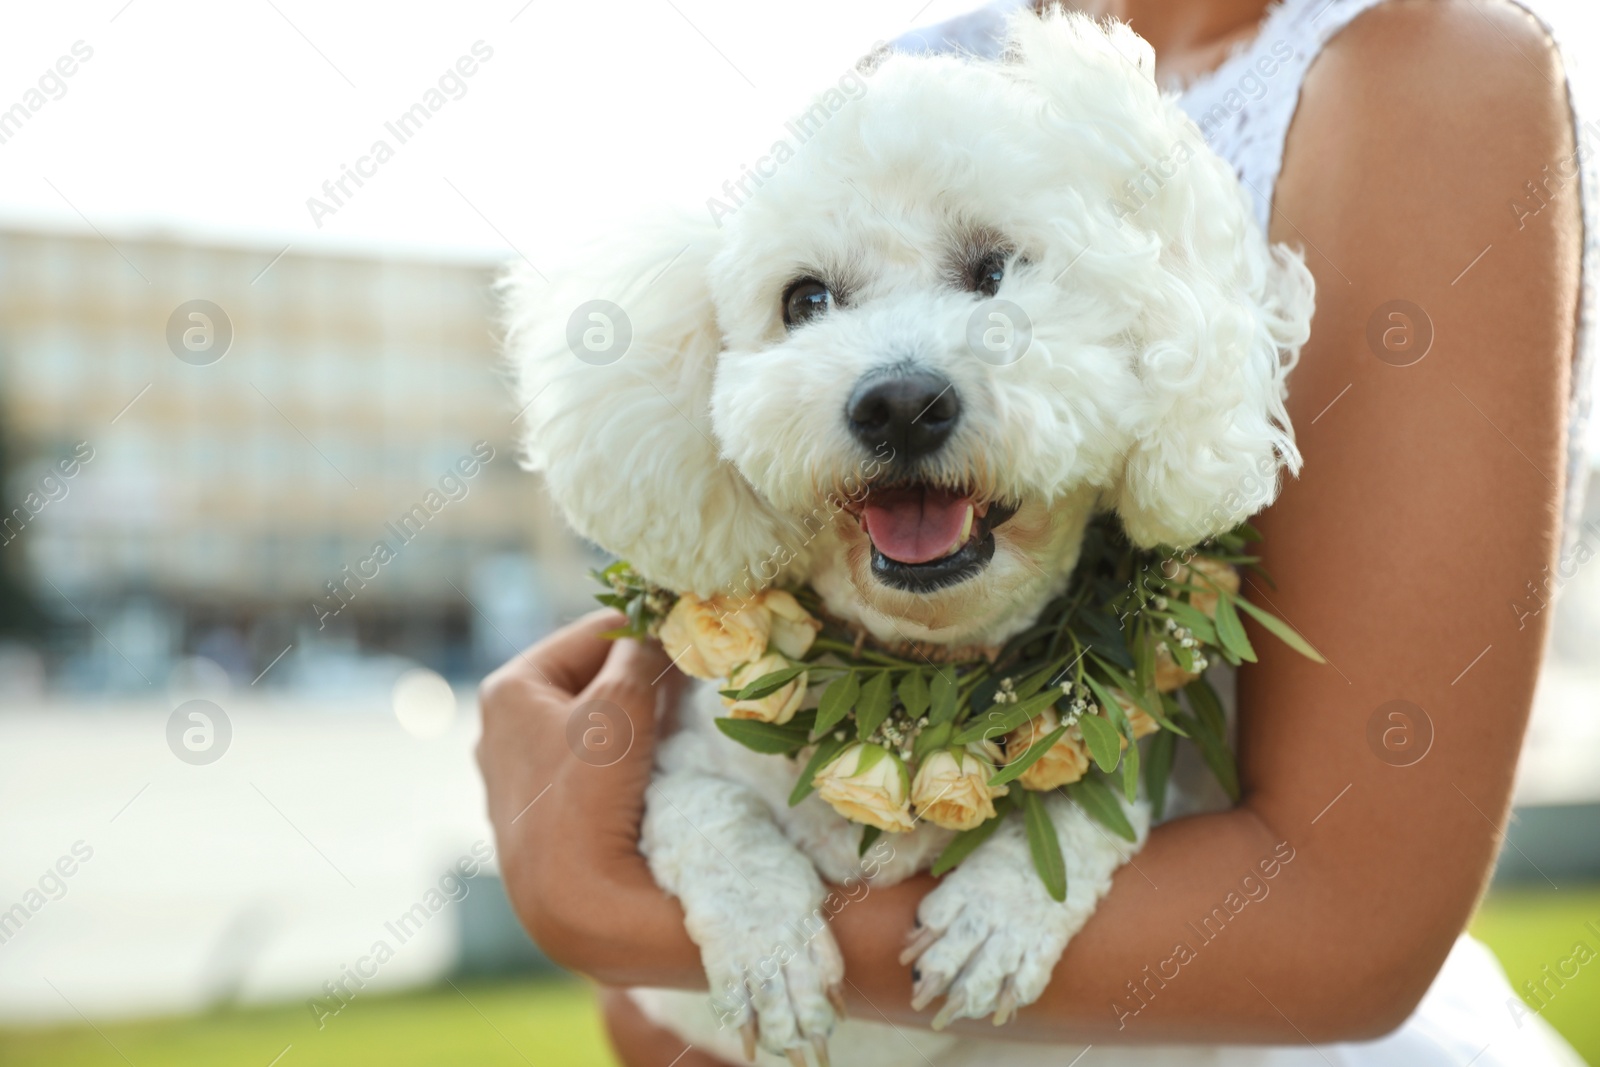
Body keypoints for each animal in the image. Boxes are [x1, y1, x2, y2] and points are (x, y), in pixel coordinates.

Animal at [499, 8, 1312, 1067]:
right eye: (804, 300)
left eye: (996, 270)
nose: (898, 404)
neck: (923, 676)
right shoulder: (685, 765)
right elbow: (711, 819)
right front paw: (769, 952)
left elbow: (1102, 785)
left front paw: (1001, 913)